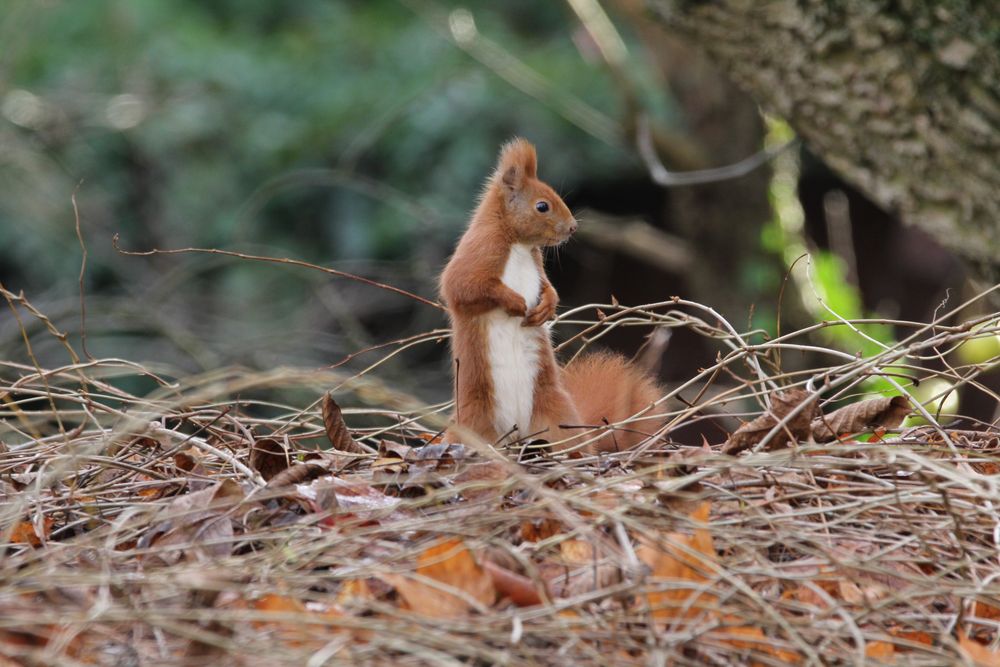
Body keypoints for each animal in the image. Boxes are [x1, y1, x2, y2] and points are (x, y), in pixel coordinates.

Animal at [440, 140, 660, 454]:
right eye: (542, 206)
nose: (573, 227)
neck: (519, 244)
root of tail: (516, 435)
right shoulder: (477, 253)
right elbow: (464, 287)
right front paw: (514, 301)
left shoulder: (536, 264)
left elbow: (548, 287)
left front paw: (547, 305)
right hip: (474, 422)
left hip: (557, 414)